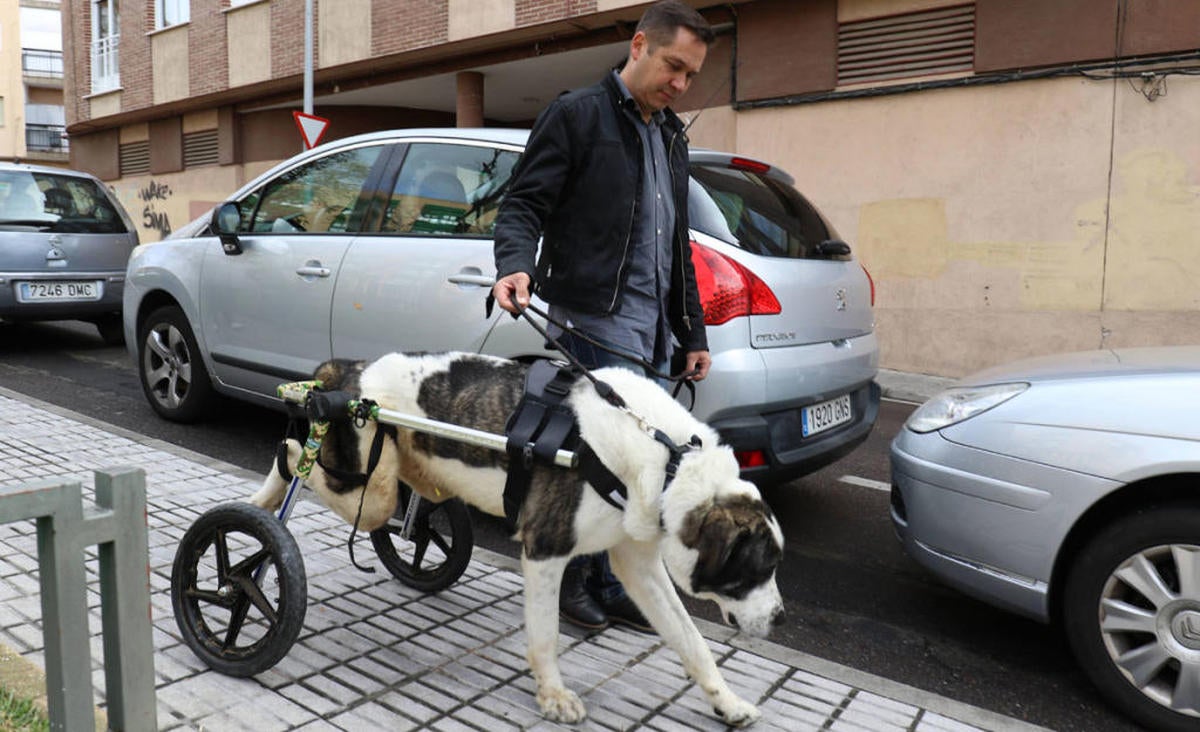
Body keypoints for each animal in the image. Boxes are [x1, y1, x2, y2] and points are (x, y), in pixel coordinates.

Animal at [248, 352, 782, 724]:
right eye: (757, 569)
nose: (779, 617)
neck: (668, 457)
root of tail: (347, 370)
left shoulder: (640, 565)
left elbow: (692, 640)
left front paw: (728, 702)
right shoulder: (546, 551)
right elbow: (545, 636)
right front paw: (553, 696)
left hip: (410, 473)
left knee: (406, 513)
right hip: (366, 482)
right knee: (294, 452)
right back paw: (264, 503)